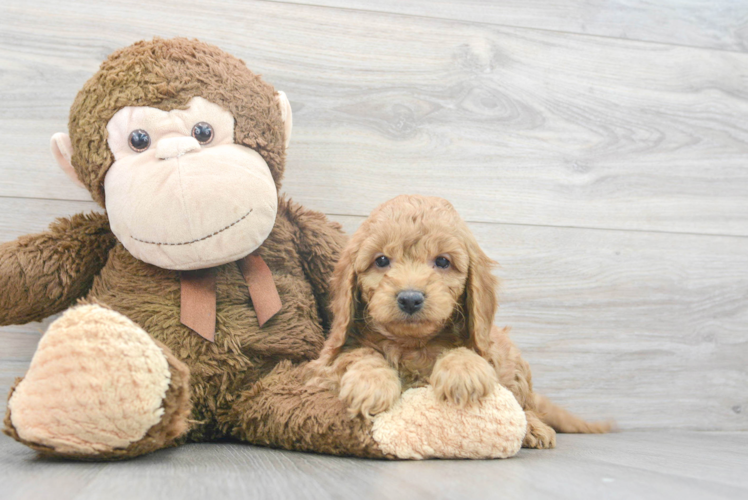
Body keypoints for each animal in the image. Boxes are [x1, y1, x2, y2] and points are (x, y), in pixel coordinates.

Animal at [306, 193, 612, 448]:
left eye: (442, 262)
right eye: (381, 261)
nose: (410, 298)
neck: (412, 344)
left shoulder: (488, 351)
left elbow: (465, 351)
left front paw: (463, 372)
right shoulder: (322, 369)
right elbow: (356, 354)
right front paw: (370, 383)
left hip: (516, 366)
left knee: (525, 405)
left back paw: (534, 428)